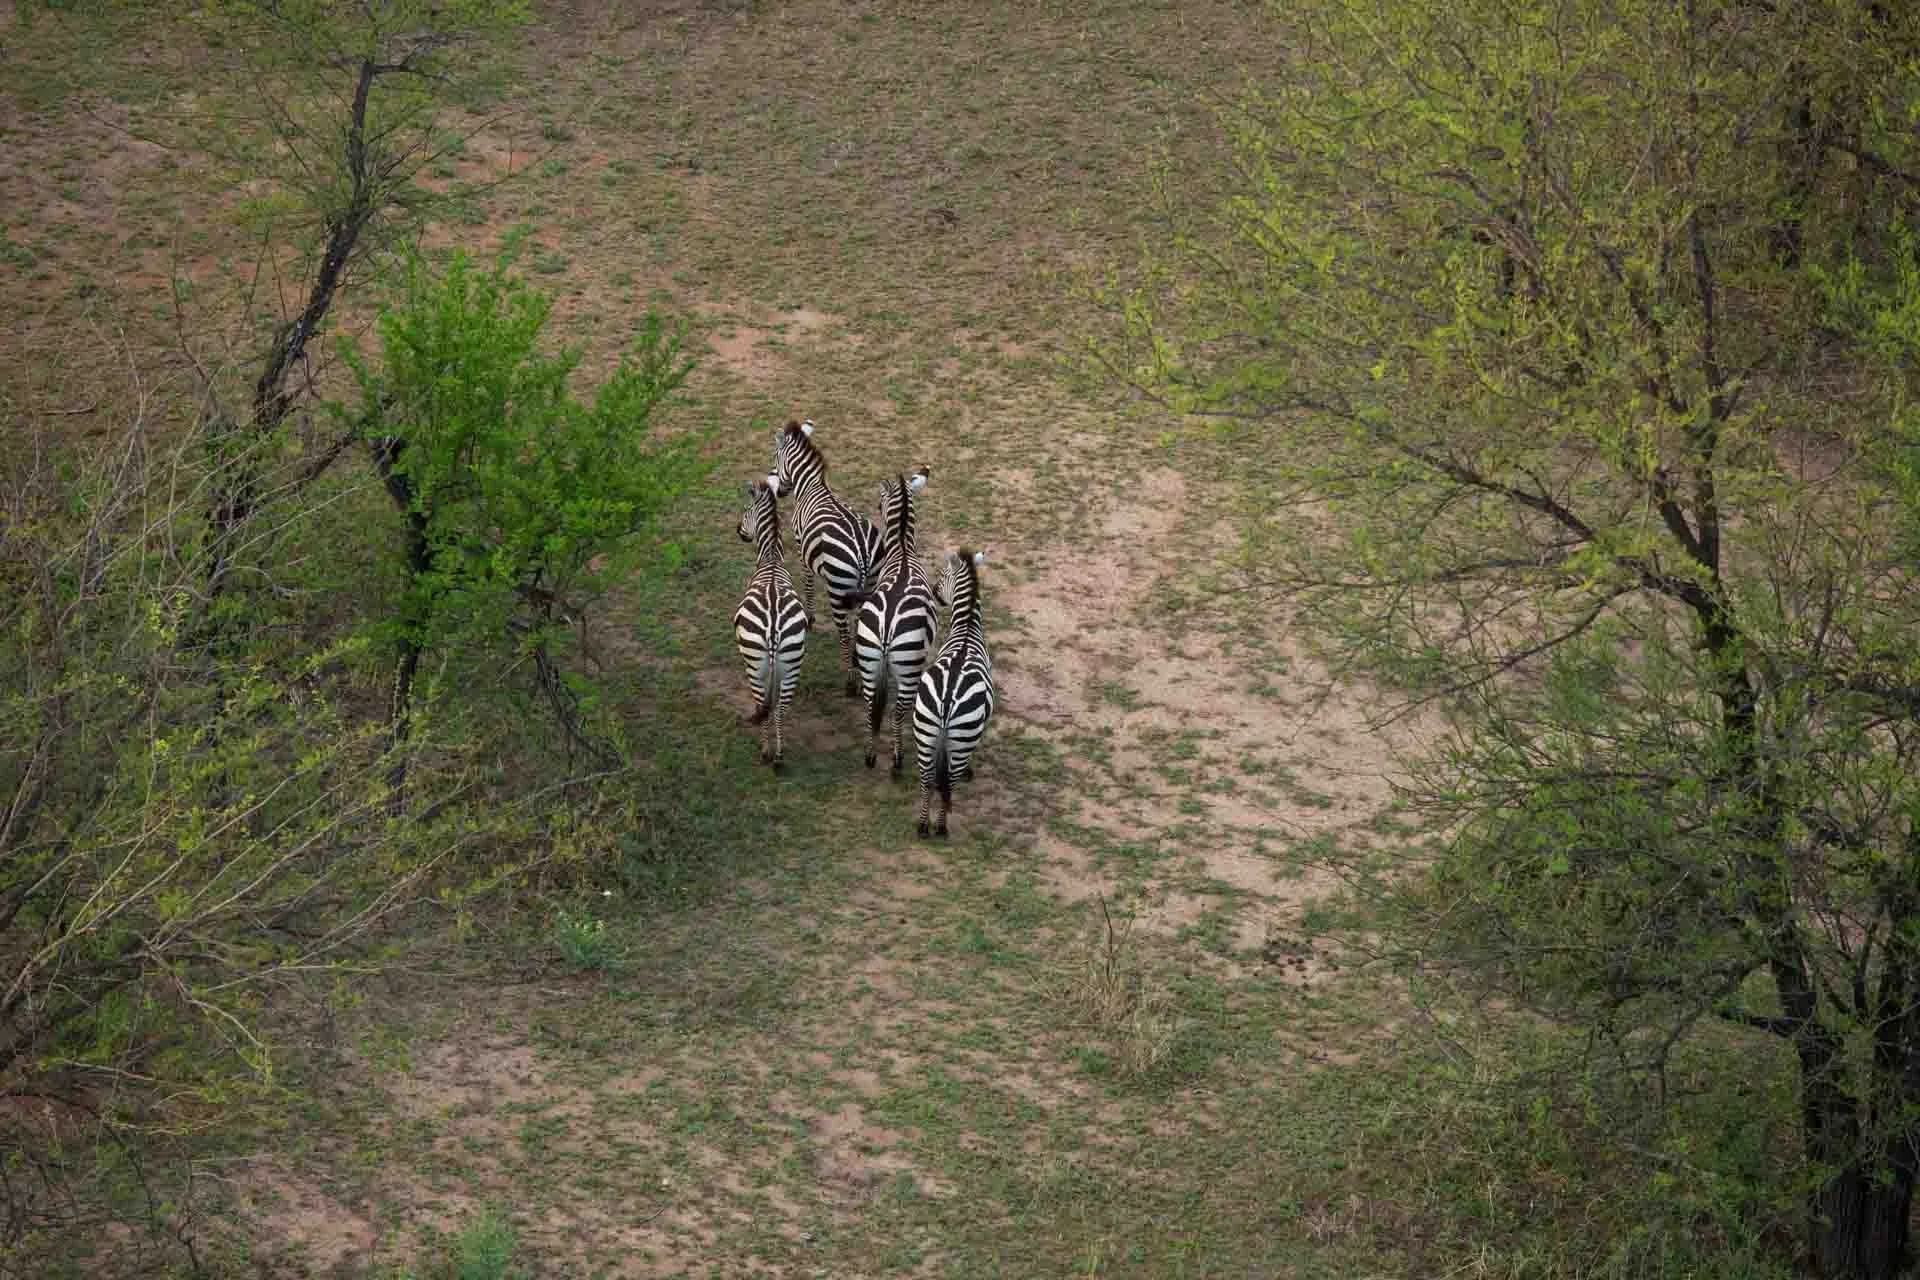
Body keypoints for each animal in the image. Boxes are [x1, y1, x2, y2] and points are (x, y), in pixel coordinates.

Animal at [734, 474, 810, 770]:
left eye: (746, 510)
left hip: (757, 666)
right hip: (791, 664)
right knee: (779, 710)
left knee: (764, 708)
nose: (738, 531)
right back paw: (778, 757)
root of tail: (774, 628)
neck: (772, 559)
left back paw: (766, 752)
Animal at [771, 419, 885, 697]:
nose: (779, 492)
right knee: (859, 621)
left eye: (775, 458)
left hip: (837, 587)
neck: (811, 486)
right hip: (869, 582)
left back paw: (850, 682)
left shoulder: (801, 547)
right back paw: (856, 661)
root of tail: (863, 550)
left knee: (843, 632)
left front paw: (810, 618)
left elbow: (808, 584)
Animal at [853, 467, 936, 776]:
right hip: (908, 666)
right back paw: (897, 761)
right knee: (897, 712)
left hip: (868, 659)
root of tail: (887, 626)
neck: (902, 551)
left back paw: (869, 756)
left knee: (869, 707)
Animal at [911, 548, 995, 838]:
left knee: (927, 780)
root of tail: (947, 700)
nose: (935, 593)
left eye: (942, 574)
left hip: (924, 729)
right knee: (948, 783)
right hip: (961, 739)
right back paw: (941, 827)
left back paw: (923, 826)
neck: (967, 629)